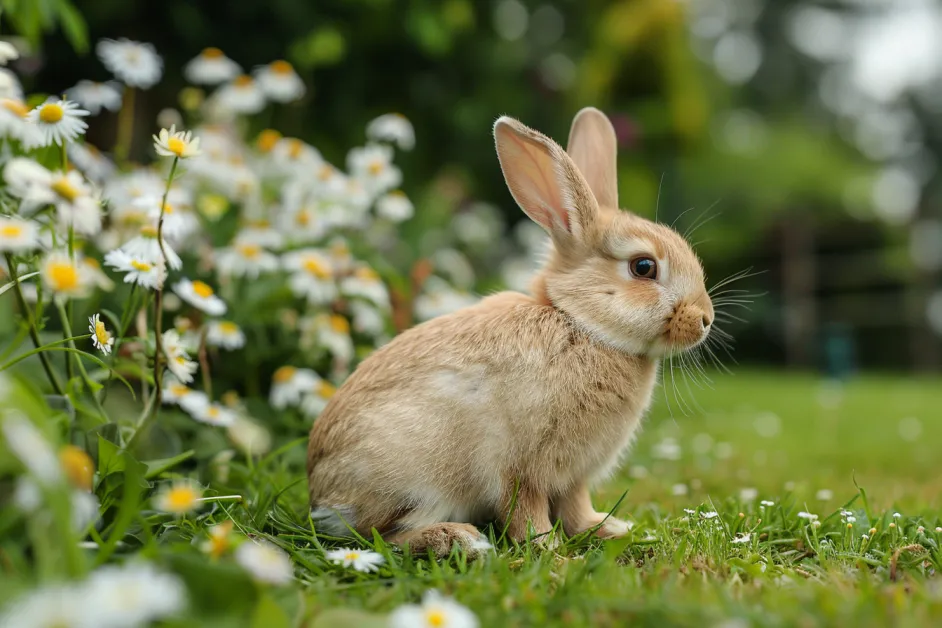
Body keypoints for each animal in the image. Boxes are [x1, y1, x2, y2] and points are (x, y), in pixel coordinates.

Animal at [310, 106, 716, 556]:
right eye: (643, 267)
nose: (705, 319)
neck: (580, 323)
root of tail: (322, 495)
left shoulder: (573, 476)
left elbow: (576, 506)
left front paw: (607, 528)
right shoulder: (520, 465)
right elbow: (525, 507)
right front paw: (549, 548)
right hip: (412, 480)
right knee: (383, 536)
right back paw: (456, 538)